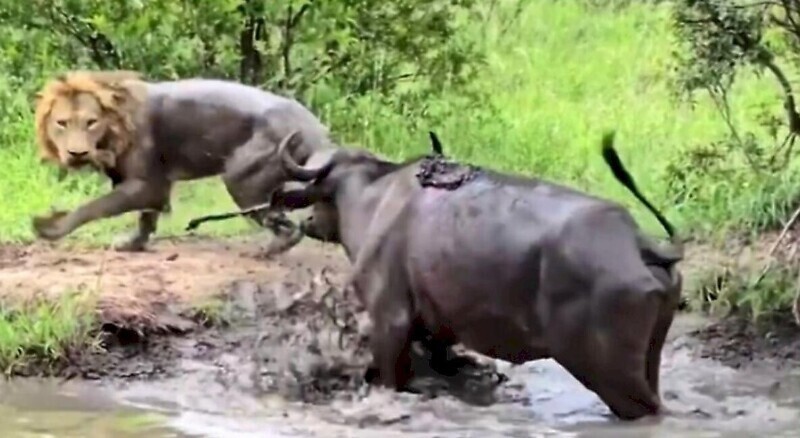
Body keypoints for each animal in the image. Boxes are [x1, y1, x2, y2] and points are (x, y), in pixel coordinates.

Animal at [30, 70, 338, 255]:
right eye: (62, 123)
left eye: (91, 122)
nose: (77, 153)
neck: (111, 133)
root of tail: (316, 130)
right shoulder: (154, 185)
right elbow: (146, 217)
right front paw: (132, 244)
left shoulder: (145, 183)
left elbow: (94, 207)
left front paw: (50, 227)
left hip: (241, 178)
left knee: (287, 226)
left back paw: (266, 250)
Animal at [268, 131, 680, 420]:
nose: (306, 220)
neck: (374, 199)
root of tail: (639, 242)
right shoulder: (438, 332)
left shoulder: (390, 322)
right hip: (648, 357)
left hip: (608, 372)